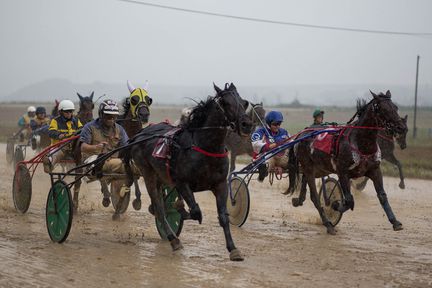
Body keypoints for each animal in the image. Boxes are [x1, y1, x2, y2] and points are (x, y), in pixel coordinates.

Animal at [120, 82, 253, 260]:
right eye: (225, 102)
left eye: (244, 102)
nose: (246, 124)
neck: (205, 147)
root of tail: (141, 134)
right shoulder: (181, 183)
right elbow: (195, 212)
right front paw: (180, 210)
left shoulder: (220, 185)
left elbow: (223, 217)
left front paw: (233, 249)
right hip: (148, 174)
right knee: (159, 208)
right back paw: (173, 239)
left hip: (161, 176)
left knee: (158, 205)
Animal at [292, 90, 406, 234]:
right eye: (384, 109)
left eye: (396, 108)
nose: (401, 127)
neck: (361, 143)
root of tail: (302, 133)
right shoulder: (343, 173)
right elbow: (349, 200)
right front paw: (335, 204)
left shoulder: (374, 170)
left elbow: (382, 196)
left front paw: (395, 222)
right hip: (308, 168)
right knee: (315, 197)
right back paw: (328, 224)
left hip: (318, 169)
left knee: (305, 182)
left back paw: (299, 200)